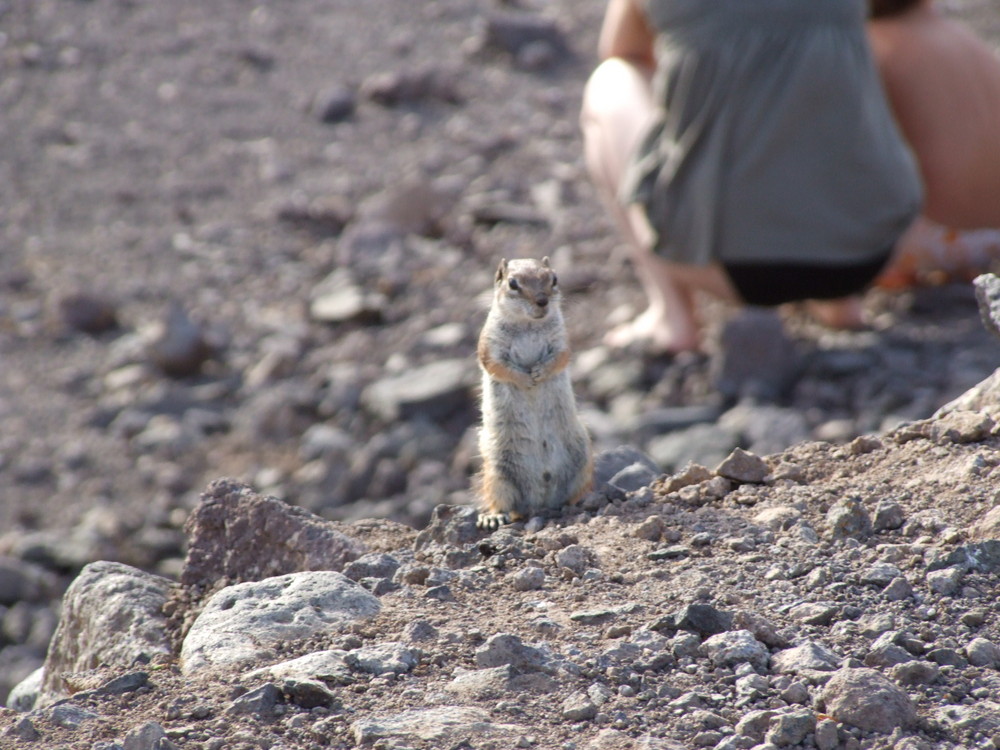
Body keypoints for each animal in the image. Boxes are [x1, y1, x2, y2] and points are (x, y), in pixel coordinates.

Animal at [476, 258, 592, 528]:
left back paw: (581, 502)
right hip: (497, 473)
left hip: (583, 459)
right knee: (501, 501)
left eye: (554, 278)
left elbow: (561, 357)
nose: (542, 300)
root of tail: (540, 502)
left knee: (576, 491)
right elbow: (497, 365)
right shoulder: (490, 345)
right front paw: (525, 378)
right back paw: (493, 517)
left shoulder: (561, 340)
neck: (528, 324)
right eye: (512, 283)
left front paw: (539, 373)